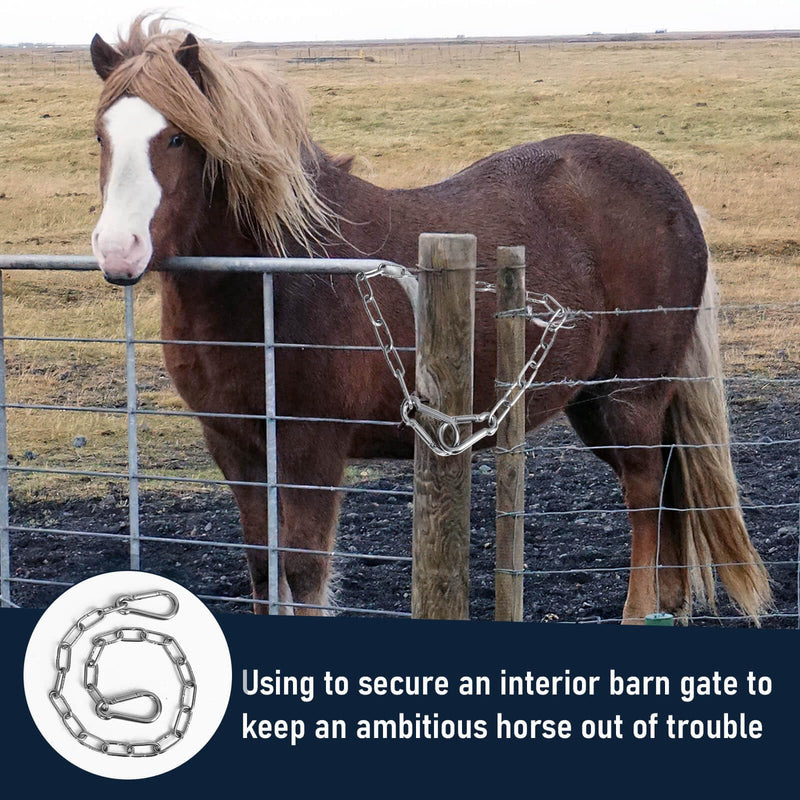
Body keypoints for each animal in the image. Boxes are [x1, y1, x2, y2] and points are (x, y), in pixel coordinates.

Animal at [87, 18, 770, 623]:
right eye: (101, 136)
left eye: (178, 138)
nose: (118, 251)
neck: (274, 277)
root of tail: (673, 195)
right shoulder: (236, 447)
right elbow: (263, 566)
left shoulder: (312, 449)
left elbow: (304, 570)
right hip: (593, 400)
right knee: (666, 481)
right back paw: (669, 607)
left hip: (631, 397)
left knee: (644, 489)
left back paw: (638, 611)